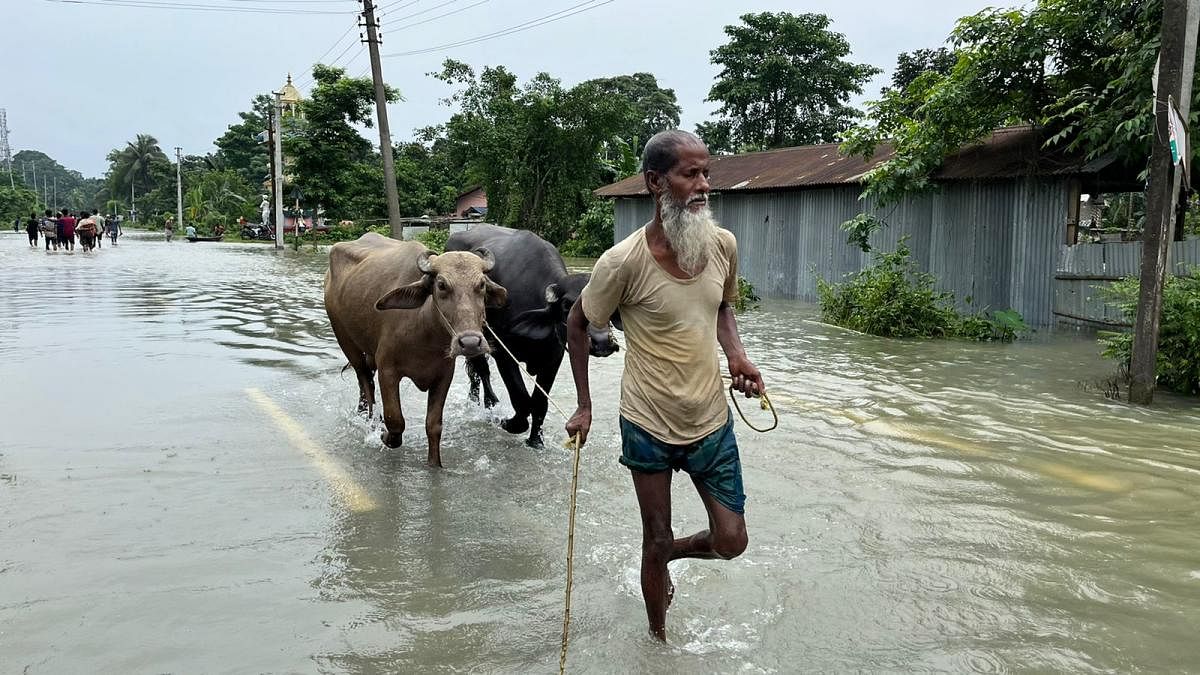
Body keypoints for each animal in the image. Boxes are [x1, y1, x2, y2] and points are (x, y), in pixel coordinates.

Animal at [324, 230, 506, 461]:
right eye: (441, 285)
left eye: (481, 284)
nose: (470, 343)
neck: (424, 330)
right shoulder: (388, 371)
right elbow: (395, 421)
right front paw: (383, 434)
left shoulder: (443, 376)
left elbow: (434, 426)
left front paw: (434, 463)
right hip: (345, 340)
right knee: (364, 379)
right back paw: (371, 419)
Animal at [448, 223, 619, 446]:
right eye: (567, 305)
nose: (601, 342)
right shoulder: (503, 352)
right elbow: (521, 398)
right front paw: (508, 423)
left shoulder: (553, 358)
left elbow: (539, 402)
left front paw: (536, 440)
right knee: (481, 370)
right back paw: (487, 404)